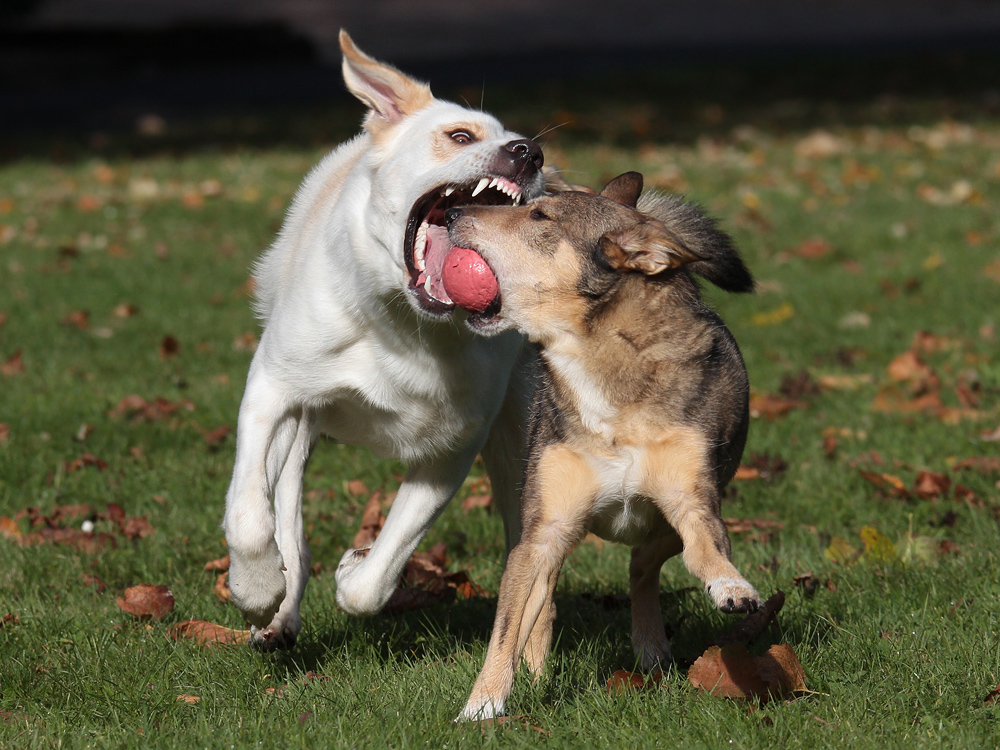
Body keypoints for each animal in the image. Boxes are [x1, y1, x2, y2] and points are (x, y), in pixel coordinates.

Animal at [223, 32, 548, 648]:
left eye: (536, 157)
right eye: (460, 135)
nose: (528, 153)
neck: (405, 327)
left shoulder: (452, 448)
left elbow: (380, 572)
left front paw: (355, 568)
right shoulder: (272, 389)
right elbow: (250, 516)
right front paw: (256, 592)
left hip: (523, 443)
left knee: (528, 547)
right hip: (299, 425)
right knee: (287, 523)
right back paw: (279, 612)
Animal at [446, 172, 756, 724]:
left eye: (539, 216)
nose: (452, 212)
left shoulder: (692, 503)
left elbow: (706, 554)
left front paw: (733, 587)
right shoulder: (543, 531)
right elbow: (506, 630)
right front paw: (482, 706)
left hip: (664, 525)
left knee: (642, 567)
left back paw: (652, 648)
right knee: (544, 599)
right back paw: (538, 670)